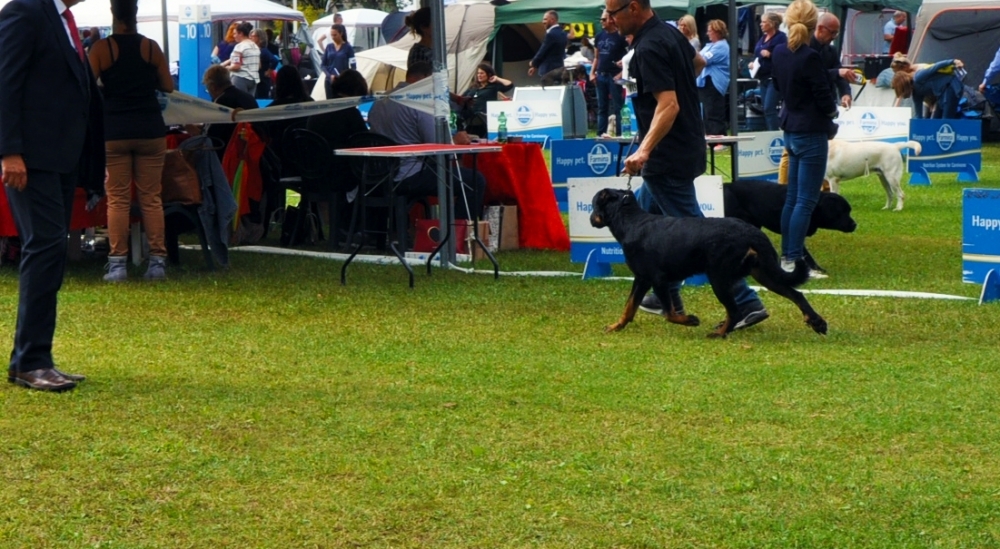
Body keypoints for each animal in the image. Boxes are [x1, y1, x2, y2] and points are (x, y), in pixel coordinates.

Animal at [588, 187, 824, 338]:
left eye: (592, 205)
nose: (590, 219)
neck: (630, 221)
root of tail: (752, 232)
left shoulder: (658, 280)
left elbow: (671, 314)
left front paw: (691, 320)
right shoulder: (642, 279)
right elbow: (629, 308)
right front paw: (616, 327)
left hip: (719, 277)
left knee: (735, 311)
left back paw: (719, 333)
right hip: (763, 273)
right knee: (796, 294)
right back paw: (817, 322)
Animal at [724, 179, 856, 272]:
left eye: (849, 211)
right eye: (843, 211)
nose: (854, 224)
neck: (813, 207)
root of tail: (727, 185)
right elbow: (804, 253)